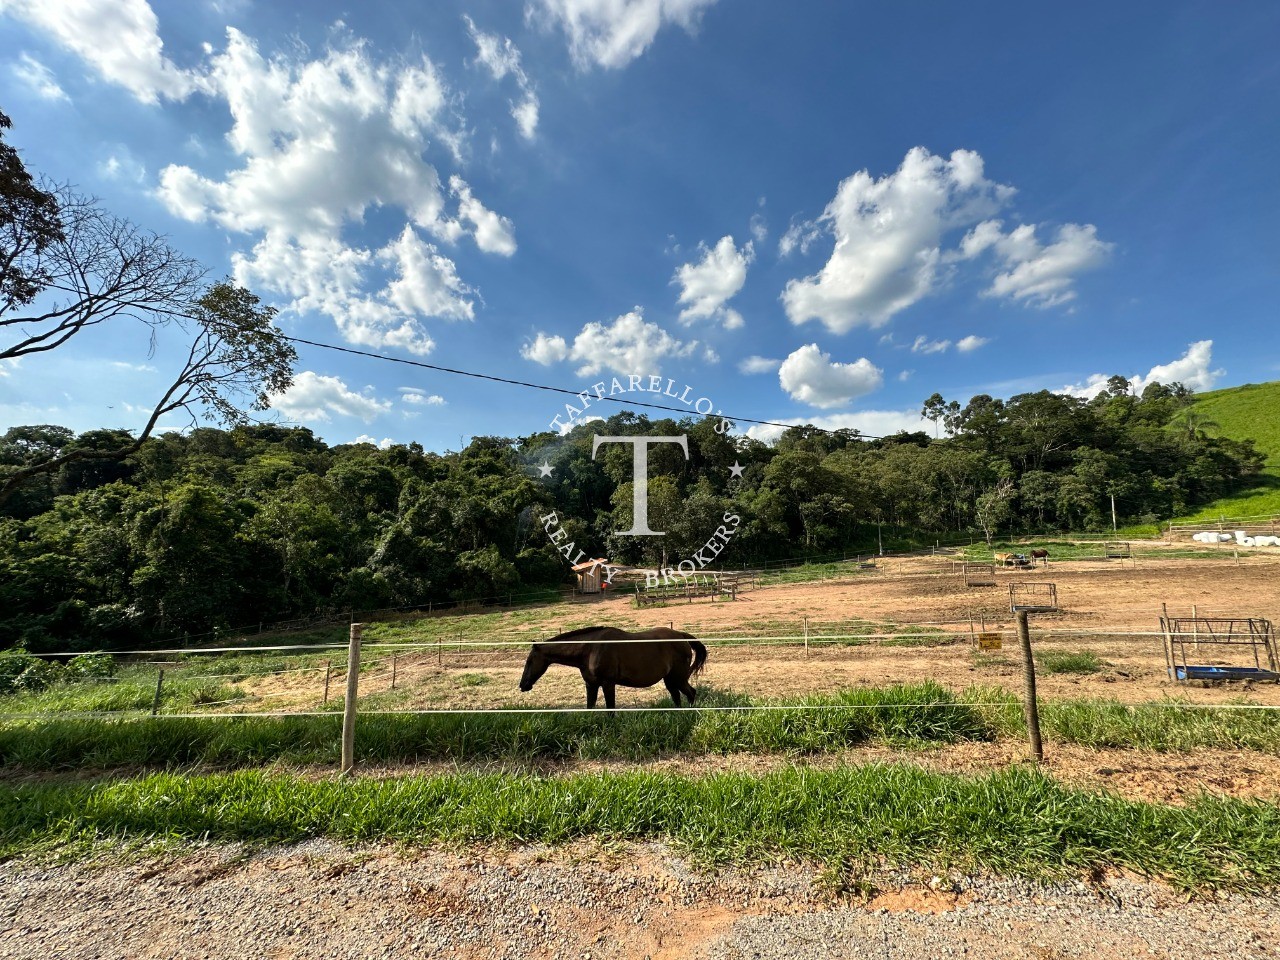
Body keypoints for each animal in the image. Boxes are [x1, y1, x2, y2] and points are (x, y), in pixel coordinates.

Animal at [514, 627, 706, 711]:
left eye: (529, 661)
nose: (523, 685)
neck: (590, 649)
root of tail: (681, 636)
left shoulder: (608, 683)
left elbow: (610, 709)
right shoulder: (591, 685)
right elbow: (590, 708)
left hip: (678, 678)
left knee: (691, 693)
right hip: (670, 679)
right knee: (677, 697)